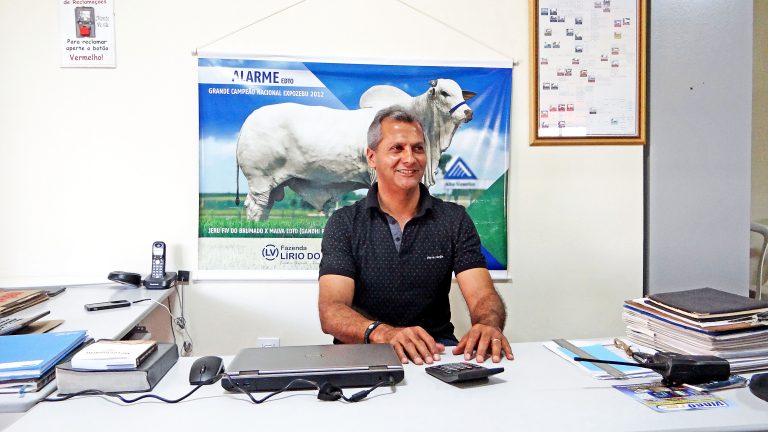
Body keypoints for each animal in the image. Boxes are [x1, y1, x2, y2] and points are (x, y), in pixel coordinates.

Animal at [234, 78, 474, 219]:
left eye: (460, 92)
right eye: (444, 92)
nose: (468, 112)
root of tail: (248, 121)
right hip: (260, 180)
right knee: (255, 207)